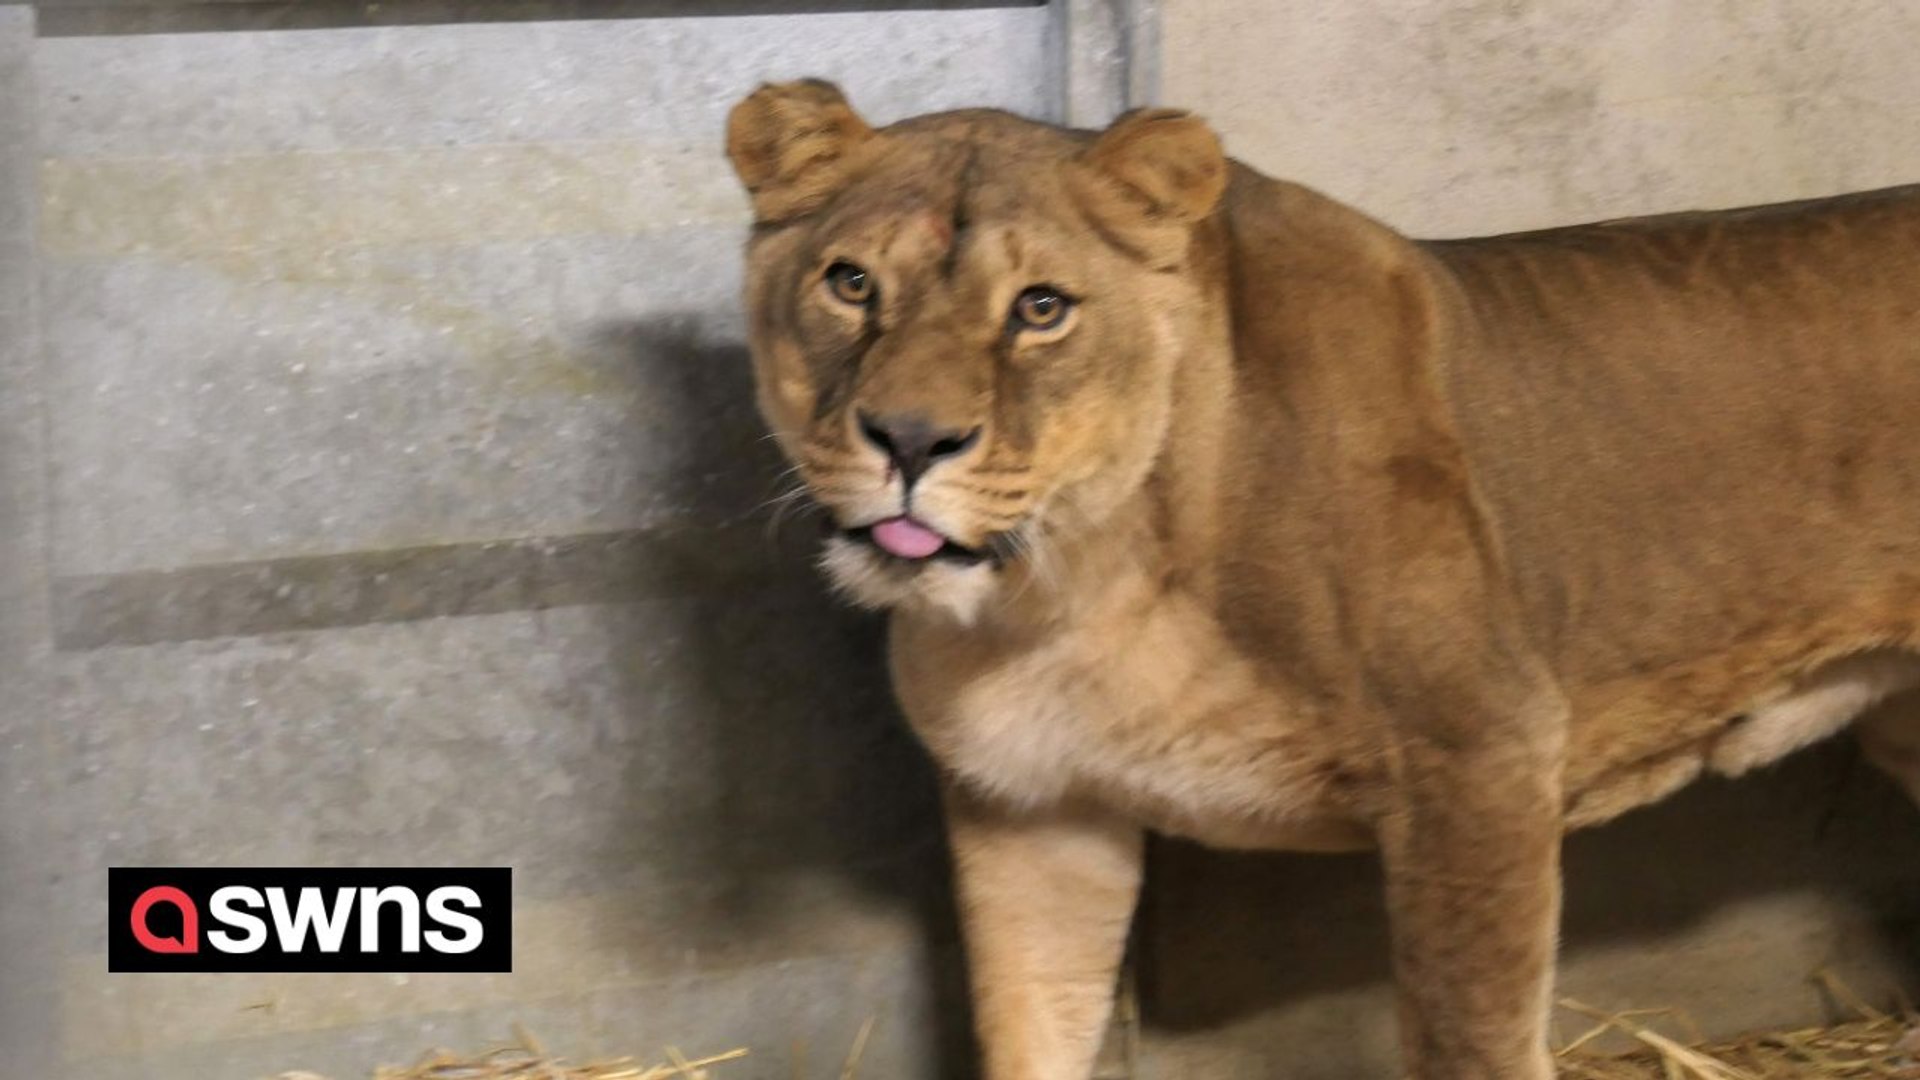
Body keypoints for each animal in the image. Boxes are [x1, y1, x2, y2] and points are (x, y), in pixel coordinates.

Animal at [724, 79, 1920, 1079]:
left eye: (1041, 307)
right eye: (851, 283)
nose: (909, 439)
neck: (1070, 583)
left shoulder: (1481, 760)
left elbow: (1470, 1043)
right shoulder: (1033, 806)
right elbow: (1028, 1032)